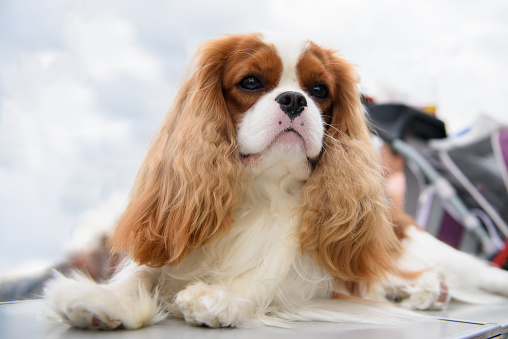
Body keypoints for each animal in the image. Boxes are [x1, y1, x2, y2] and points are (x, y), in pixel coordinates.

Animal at [42, 33, 508, 330]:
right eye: (250, 82)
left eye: (319, 90)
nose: (294, 99)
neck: (262, 191)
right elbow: (139, 275)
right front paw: (101, 302)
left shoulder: (309, 269)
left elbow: (272, 275)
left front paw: (223, 296)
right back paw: (419, 291)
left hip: (414, 246)